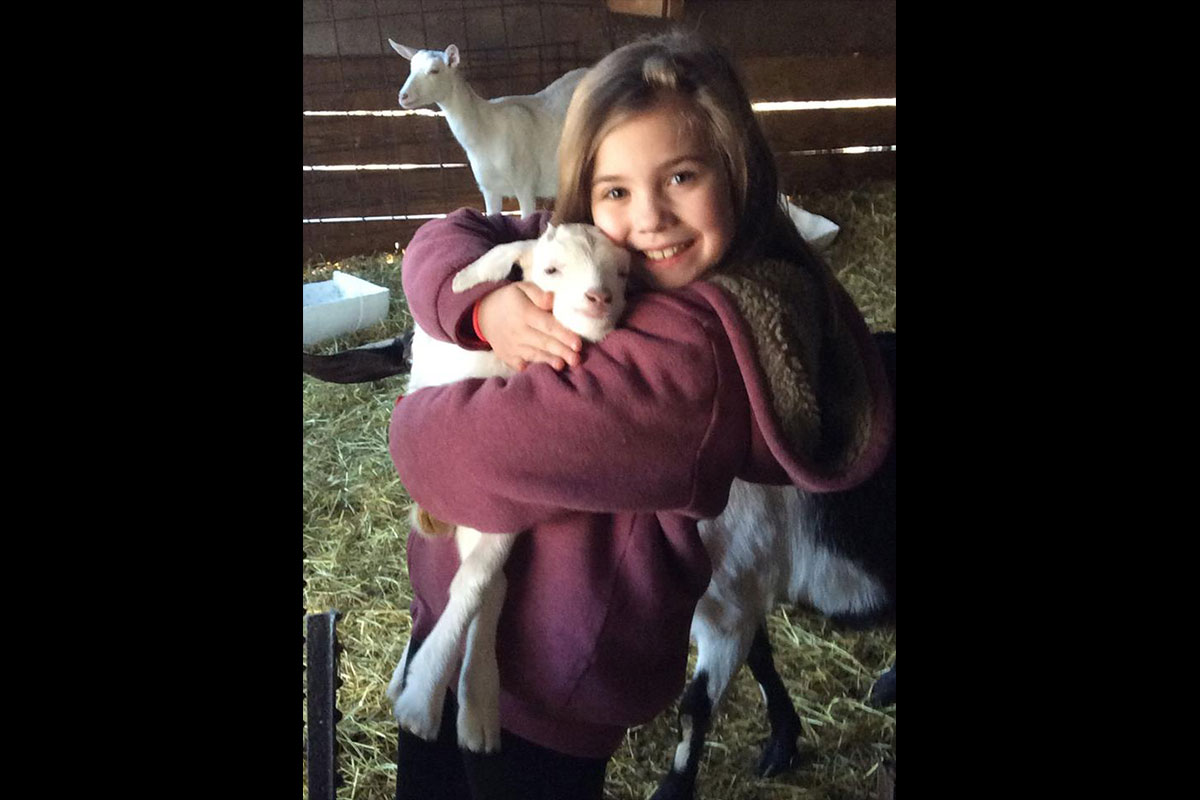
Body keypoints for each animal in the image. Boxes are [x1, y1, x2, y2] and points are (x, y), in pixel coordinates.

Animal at [386, 221, 633, 753]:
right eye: (552, 270)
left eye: (623, 272)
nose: (600, 297)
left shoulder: (501, 498)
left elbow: (477, 581)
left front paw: (431, 695)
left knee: (488, 582)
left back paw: (472, 706)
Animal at [388, 41, 585, 219]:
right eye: (411, 68)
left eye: (434, 70)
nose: (403, 96)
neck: (486, 131)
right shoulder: (489, 188)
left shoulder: (525, 183)